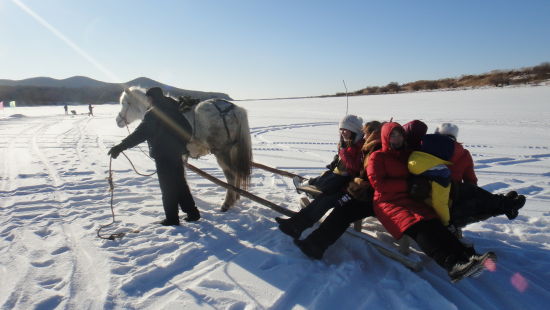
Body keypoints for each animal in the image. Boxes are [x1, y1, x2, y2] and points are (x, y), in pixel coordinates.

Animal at [118, 87, 254, 213]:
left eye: (125, 103)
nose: (118, 120)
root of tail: (233, 109)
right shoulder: (181, 156)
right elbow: (183, 174)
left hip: (221, 152)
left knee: (231, 175)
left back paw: (226, 203)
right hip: (233, 150)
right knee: (237, 173)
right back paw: (236, 197)